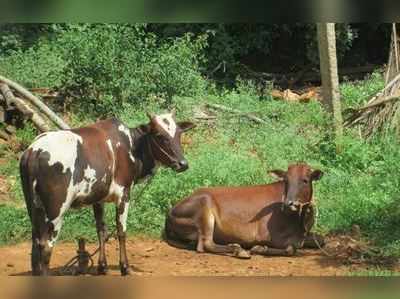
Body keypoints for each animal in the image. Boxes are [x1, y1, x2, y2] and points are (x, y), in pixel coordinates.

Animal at [20, 111, 195, 276]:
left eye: (179, 133)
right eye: (159, 135)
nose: (183, 164)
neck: (131, 146)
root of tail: (34, 150)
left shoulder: (98, 199)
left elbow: (101, 230)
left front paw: (102, 266)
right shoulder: (124, 194)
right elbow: (121, 231)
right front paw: (125, 267)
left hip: (34, 208)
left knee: (35, 244)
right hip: (56, 211)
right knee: (46, 246)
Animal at [166, 163, 324, 258]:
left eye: (305, 180)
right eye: (286, 181)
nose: (289, 203)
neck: (299, 220)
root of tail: (170, 212)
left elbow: (321, 240)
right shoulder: (266, 236)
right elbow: (292, 248)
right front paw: (259, 249)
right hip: (205, 208)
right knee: (205, 244)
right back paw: (239, 250)